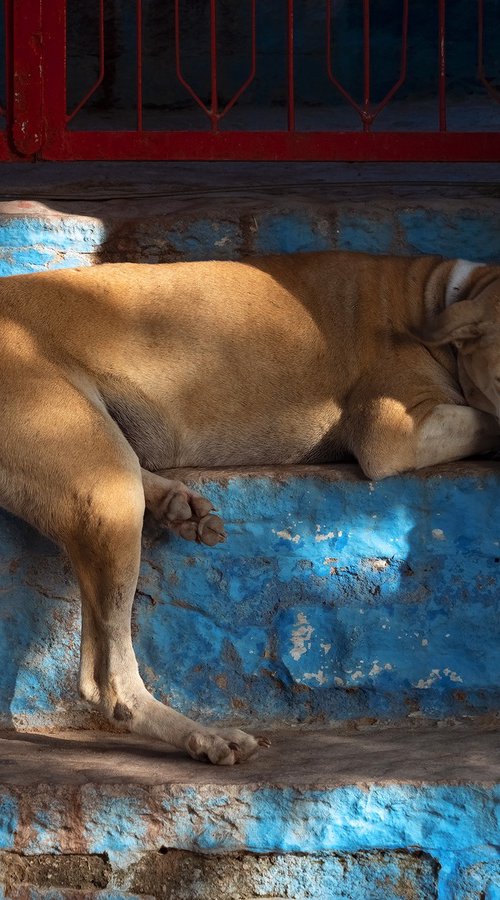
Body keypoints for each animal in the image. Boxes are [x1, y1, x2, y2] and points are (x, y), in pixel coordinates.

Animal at [0, 250, 498, 764]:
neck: (440, 294)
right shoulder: (394, 431)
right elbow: (487, 420)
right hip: (103, 491)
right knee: (107, 680)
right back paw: (201, 735)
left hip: (102, 460)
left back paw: (179, 505)